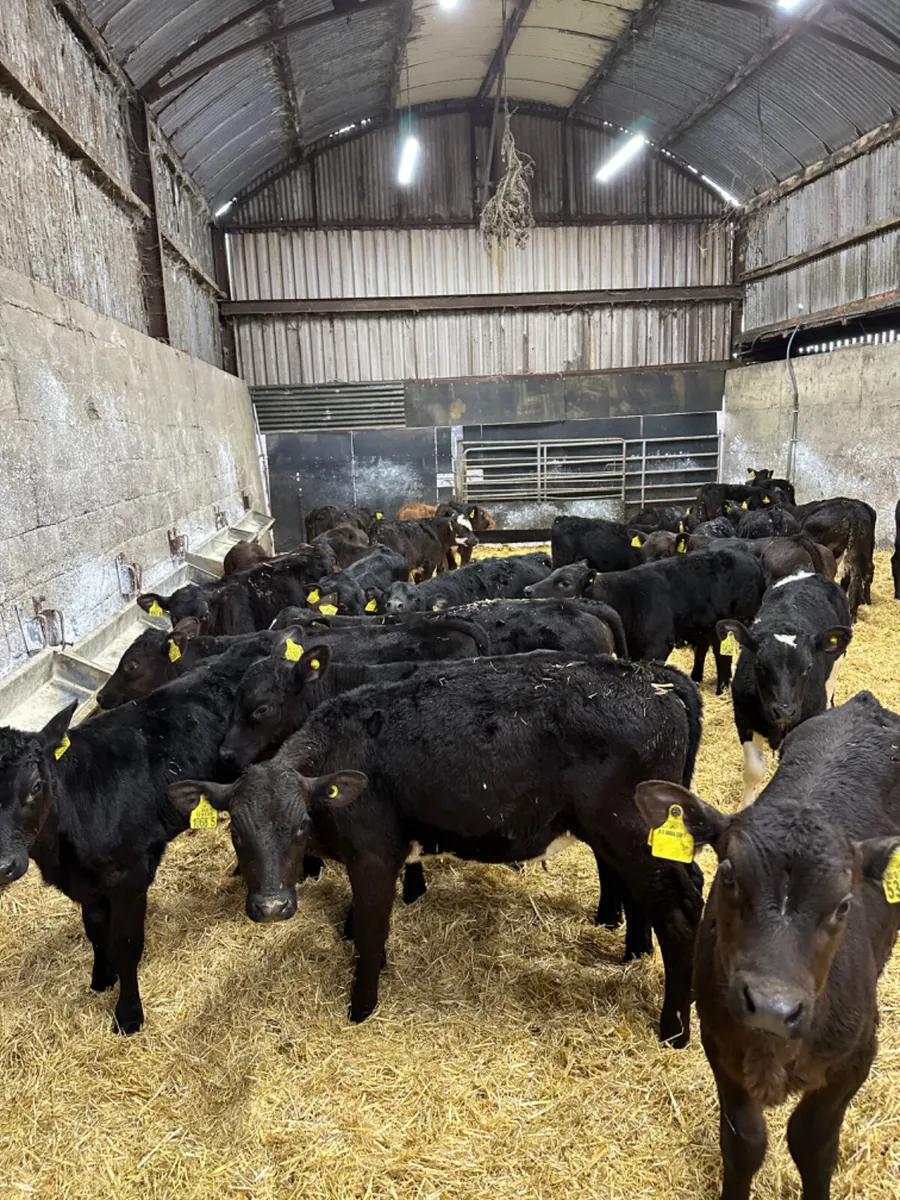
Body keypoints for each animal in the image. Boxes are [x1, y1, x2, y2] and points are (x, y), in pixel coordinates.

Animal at [0, 642, 335, 1035]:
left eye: (37, 786)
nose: (4, 865)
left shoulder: (129, 875)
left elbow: (126, 944)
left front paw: (128, 1014)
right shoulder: (86, 883)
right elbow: (95, 930)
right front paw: (102, 977)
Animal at [170, 653, 704, 1042]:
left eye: (302, 825)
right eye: (236, 832)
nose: (271, 907)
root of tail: (656, 680)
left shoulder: (375, 857)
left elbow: (370, 931)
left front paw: (361, 1007)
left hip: (631, 836)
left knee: (679, 914)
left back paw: (674, 1029)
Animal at [525, 550, 765, 695]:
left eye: (564, 583)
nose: (528, 589)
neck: (626, 597)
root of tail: (750, 559)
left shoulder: (658, 647)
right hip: (712, 628)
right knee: (714, 650)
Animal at [636, 691, 900, 1200]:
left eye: (844, 904)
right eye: (729, 874)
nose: (773, 1008)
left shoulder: (858, 1055)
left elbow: (813, 1143)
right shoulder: (719, 1044)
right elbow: (744, 1141)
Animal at [717, 571, 852, 808]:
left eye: (808, 667)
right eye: (760, 664)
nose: (784, 711)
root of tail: (807, 573)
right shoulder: (743, 719)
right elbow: (753, 770)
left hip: (836, 666)